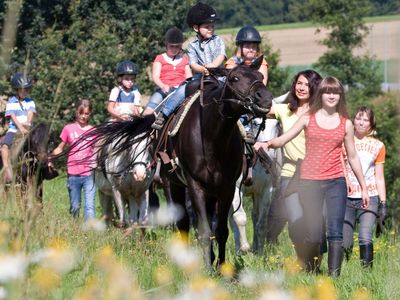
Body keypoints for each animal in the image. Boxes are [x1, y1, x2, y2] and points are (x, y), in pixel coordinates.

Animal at [84, 57, 274, 268]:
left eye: (260, 76)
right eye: (235, 78)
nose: (264, 97)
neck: (212, 136)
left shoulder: (227, 187)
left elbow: (220, 230)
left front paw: (220, 266)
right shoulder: (194, 184)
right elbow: (203, 229)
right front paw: (207, 267)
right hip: (171, 184)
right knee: (182, 223)